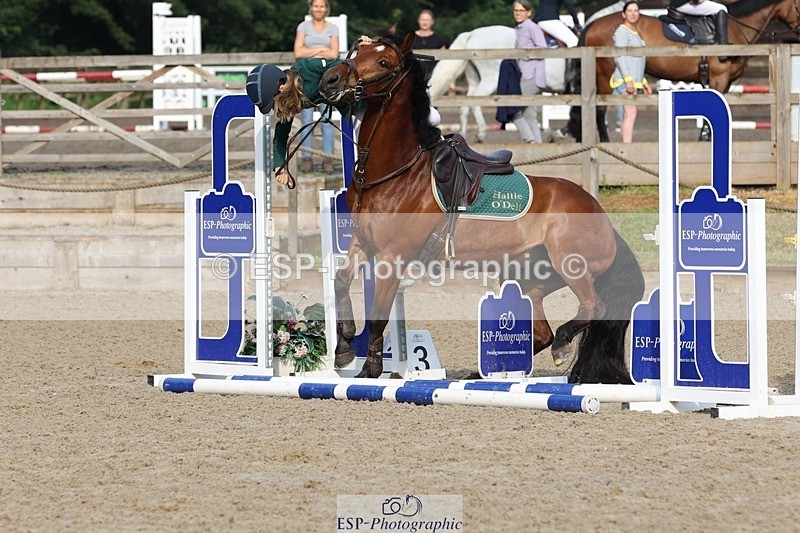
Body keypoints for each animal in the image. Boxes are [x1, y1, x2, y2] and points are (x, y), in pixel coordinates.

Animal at [427, 25, 567, 142]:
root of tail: (471, 34)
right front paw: (561, 132)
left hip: (474, 79)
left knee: (465, 104)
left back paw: (463, 135)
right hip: (490, 80)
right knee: (475, 101)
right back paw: (481, 134)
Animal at [565, 0, 800, 142]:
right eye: (797, 4)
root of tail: (592, 25)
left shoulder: (723, 81)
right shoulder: (719, 78)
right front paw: (705, 139)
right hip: (605, 75)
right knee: (599, 110)